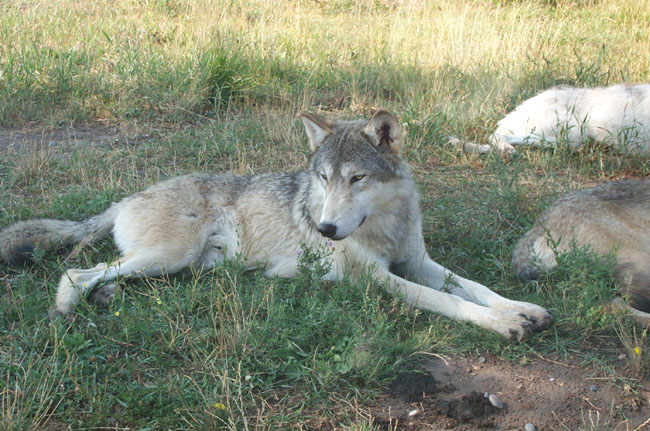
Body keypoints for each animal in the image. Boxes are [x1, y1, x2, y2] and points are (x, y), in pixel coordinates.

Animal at [0, 110, 552, 341]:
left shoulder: (419, 261)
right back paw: (66, 311)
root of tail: (124, 198)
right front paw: (505, 324)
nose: (324, 230)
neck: (385, 223)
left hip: (178, 266)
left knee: (105, 275)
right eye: (324, 178)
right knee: (76, 272)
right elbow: (452, 303)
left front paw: (523, 309)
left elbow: (476, 288)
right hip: (171, 258)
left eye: (356, 178)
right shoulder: (378, 279)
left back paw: (105, 300)